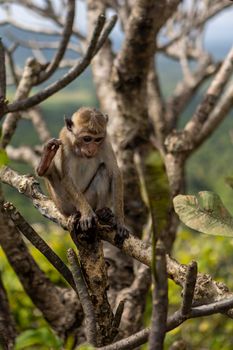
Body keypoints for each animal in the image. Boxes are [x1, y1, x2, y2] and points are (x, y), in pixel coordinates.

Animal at [36, 107, 127, 235]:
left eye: (98, 139)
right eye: (87, 139)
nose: (92, 149)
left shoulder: (105, 143)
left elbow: (115, 174)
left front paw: (120, 221)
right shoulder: (64, 141)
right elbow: (67, 178)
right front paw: (87, 214)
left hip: (89, 199)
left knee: (103, 170)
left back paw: (101, 212)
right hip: (64, 204)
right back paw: (45, 163)